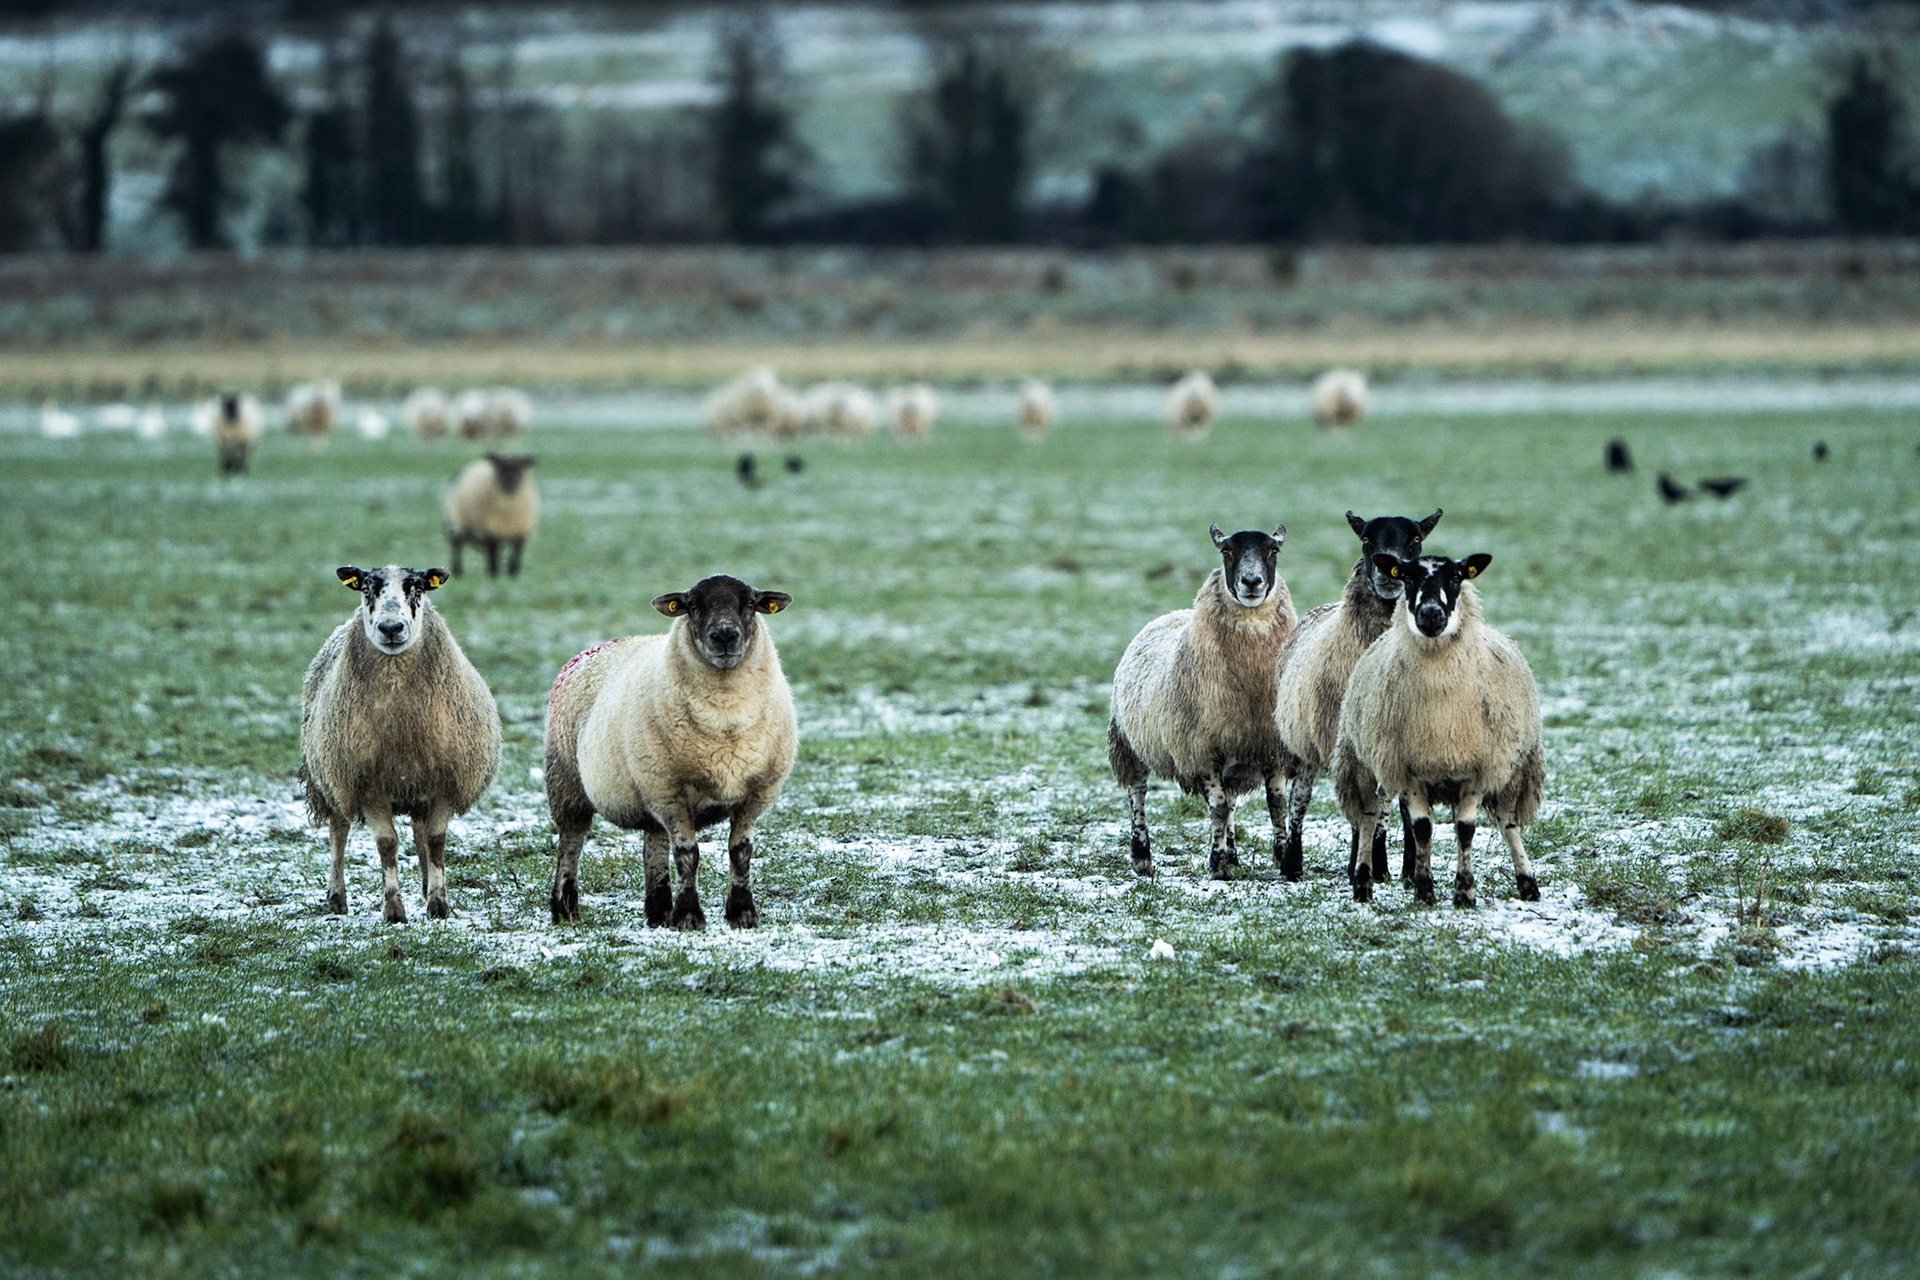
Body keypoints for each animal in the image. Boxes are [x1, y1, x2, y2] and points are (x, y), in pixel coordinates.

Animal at [300, 565, 501, 923]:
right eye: (366, 588)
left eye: (418, 588)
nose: (391, 628)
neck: (402, 726)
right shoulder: (368, 785)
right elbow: (387, 845)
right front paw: (393, 909)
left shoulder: (444, 782)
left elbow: (435, 841)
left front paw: (438, 903)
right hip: (333, 776)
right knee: (339, 831)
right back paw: (336, 897)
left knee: (420, 833)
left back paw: (424, 885)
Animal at [544, 574, 796, 930]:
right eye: (692, 606)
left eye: (750, 603)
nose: (724, 636)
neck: (725, 716)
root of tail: (590, 650)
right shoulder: (670, 789)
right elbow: (688, 854)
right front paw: (690, 915)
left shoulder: (756, 793)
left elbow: (741, 852)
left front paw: (742, 914)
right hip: (567, 781)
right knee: (570, 844)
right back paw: (565, 908)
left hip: (646, 786)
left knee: (654, 844)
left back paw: (660, 911)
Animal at [1108, 523, 1296, 879]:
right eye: (1227, 550)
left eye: (1273, 550)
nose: (1252, 582)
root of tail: (1169, 615)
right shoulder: (1202, 748)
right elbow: (1217, 807)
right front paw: (1217, 863)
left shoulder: (1269, 746)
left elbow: (1276, 805)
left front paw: (1282, 859)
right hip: (1129, 743)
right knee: (1137, 794)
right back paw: (1142, 857)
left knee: (1232, 799)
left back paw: (1234, 853)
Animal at [1272, 508, 1442, 882]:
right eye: (1365, 538)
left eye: (1416, 538)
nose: (1388, 568)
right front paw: (1374, 865)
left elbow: (1395, 810)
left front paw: (1395, 868)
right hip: (1305, 741)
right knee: (1299, 800)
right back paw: (1293, 864)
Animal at [1332, 552, 1543, 907]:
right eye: (1407, 577)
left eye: (1457, 577)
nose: (1431, 613)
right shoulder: (1409, 770)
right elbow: (1422, 829)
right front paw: (1424, 890)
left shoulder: (1477, 770)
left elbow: (1465, 828)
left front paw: (1465, 893)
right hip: (1366, 764)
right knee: (1368, 816)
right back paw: (1362, 883)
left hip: (1510, 770)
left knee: (1508, 822)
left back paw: (1528, 883)